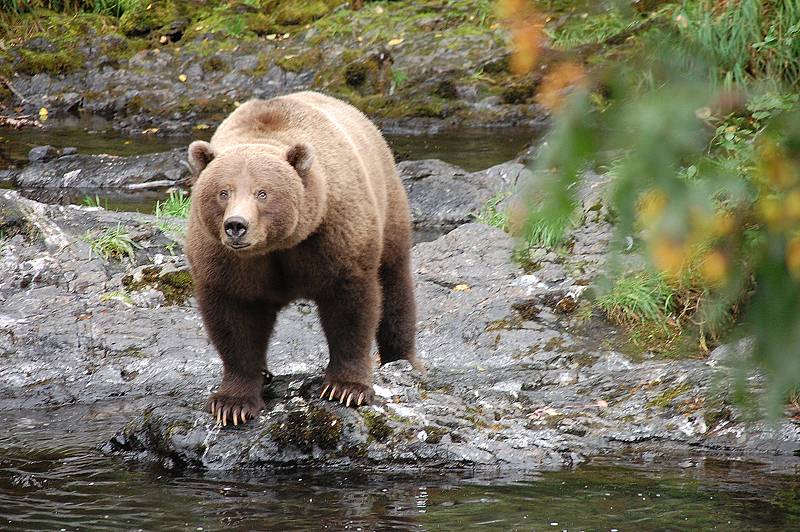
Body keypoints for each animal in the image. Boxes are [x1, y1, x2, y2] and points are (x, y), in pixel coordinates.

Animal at [184, 89, 416, 426]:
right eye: (223, 192)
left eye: (262, 192)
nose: (236, 225)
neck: (277, 246)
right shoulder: (226, 260)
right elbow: (233, 319)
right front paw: (233, 403)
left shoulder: (333, 235)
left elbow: (351, 308)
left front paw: (347, 388)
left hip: (388, 203)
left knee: (395, 284)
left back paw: (402, 358)